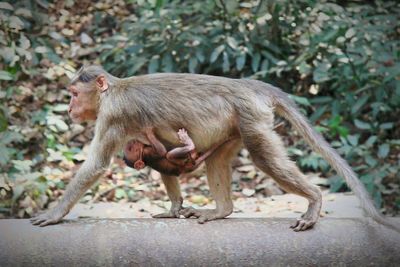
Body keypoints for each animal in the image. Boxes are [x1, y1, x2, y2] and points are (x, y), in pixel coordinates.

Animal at [31, 65, 400, 232]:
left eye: (73, 94)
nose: (69, 108)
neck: (111, 91)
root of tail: (250, 86)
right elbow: (161, 155)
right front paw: (175, 208)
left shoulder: (111, 116)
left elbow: (95, 165)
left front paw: (54, 213)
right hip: (233, 127)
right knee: (218, 161)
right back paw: (222, 210)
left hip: (250, 117)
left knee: (263, 157)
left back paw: (314, 200)